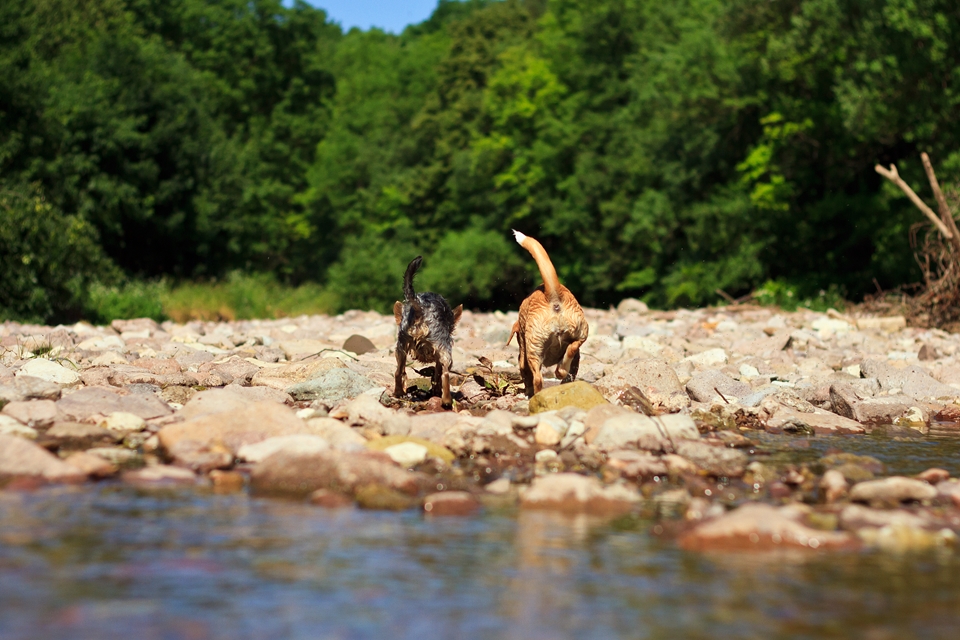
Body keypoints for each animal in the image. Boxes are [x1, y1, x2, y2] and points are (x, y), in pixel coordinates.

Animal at [392, 255, 464, 404]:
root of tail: (420, 307)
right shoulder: (438, 353)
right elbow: (437, 373)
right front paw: (436, 391)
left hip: (401, 344)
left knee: (398, 371)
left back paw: (398, 393)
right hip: (443, 347)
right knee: (445, 372)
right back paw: (447, 400)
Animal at [506, 230, 588, 398]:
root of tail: (553, 296)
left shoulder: (523, 358)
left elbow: (526, 375)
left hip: (533, 349)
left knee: (538, 378)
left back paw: (535, 395)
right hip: (580, 331)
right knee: (571, 350)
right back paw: (561, 370)